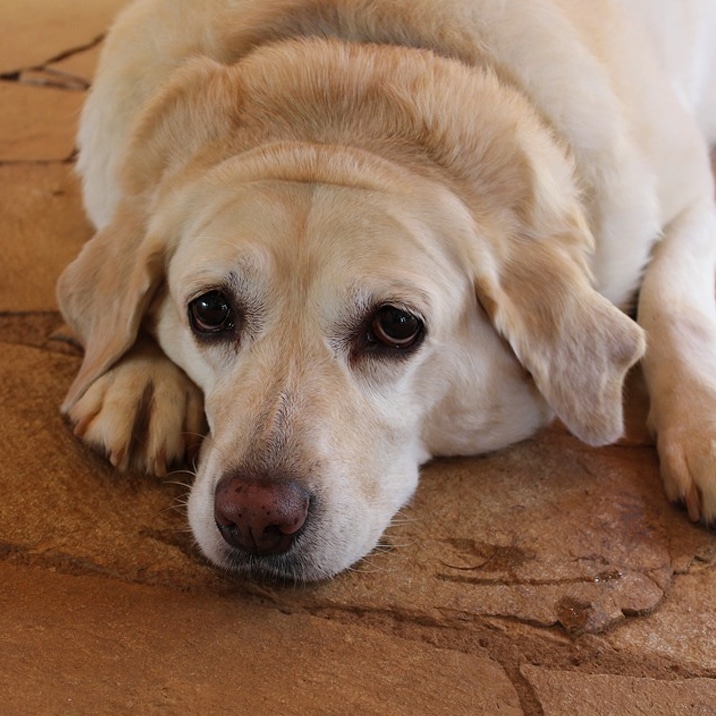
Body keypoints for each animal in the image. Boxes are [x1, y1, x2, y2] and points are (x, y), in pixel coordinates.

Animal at [58, 0, 716, 580]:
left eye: (397, 326)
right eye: (210, 311)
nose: (254, 518)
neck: (347, 62)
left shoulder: (696, 191)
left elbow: (671, 303)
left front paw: (702, 424)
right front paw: (141, 377)